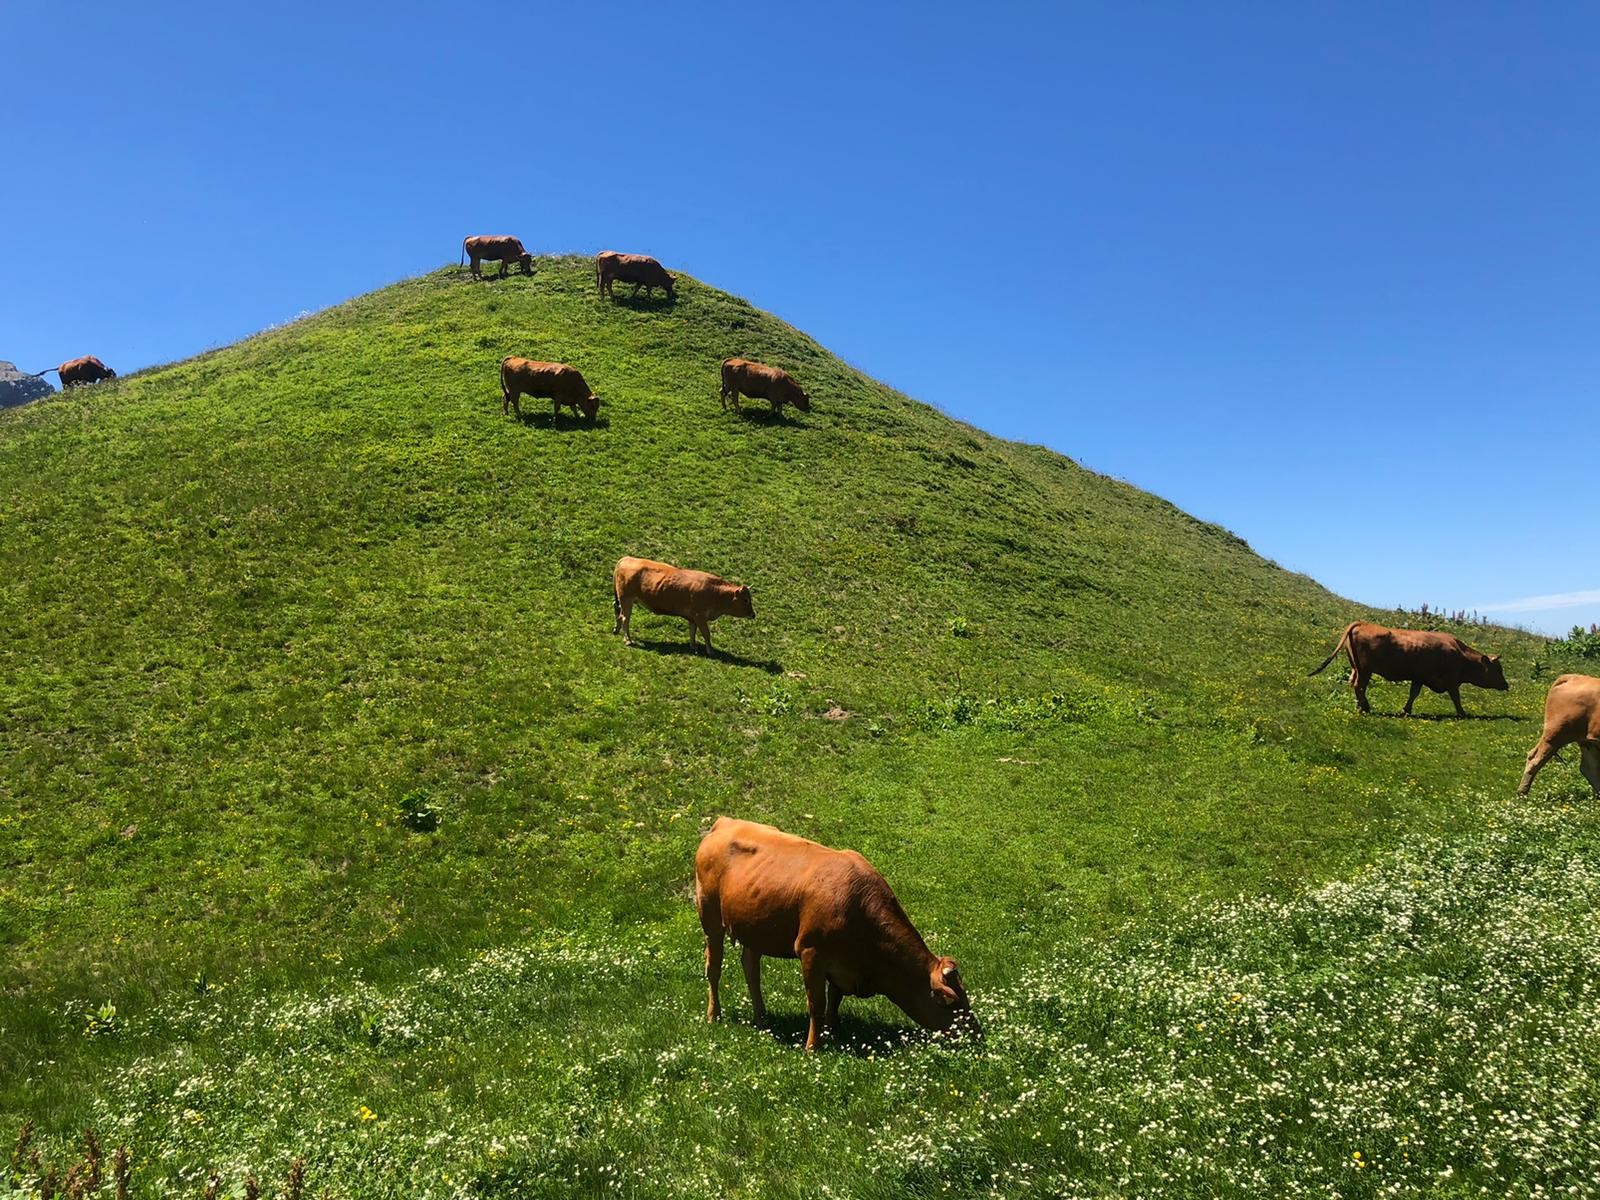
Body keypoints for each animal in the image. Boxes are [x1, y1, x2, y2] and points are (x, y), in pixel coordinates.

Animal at [614, 556, 758, 652]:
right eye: (745, 600)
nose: (753, 614)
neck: (716, 592)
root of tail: (626, 558)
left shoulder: (693, 617)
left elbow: (692, 632)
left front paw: (693, 647)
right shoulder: (700, 616)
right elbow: (706, 633)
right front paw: (710, 651)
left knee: (618, 613)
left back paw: (616, 630)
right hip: (627, 599)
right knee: (625, 618)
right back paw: (628, 640)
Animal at [697, 819, 979, 1049]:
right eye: (952, 1002)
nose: (977, 1035)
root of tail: (724, 823)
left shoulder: (842, 964)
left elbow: (834, 999)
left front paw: (832, 1032)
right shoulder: (811, 952)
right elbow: (816, 1003)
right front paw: (813, 1046)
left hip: (754, 927)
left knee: (751, 969)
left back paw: (761, 1018)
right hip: (710, 917)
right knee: (714, 967)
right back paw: (714, 1015)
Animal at [1305, 620, 1504, 713]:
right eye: (1498, 669)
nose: (1506, 684)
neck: (1460, 654)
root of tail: (1363, 623)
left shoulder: (1419, 677)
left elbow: (1413, 694)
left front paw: (1406, 710)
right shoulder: (1451, 680)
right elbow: (1456, 697)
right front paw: (1462, 713)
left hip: (1356, 668)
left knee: (1354, 683)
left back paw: (1361, 706)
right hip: (1365, 670)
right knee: (1359, 686)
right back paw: (1364, 708)